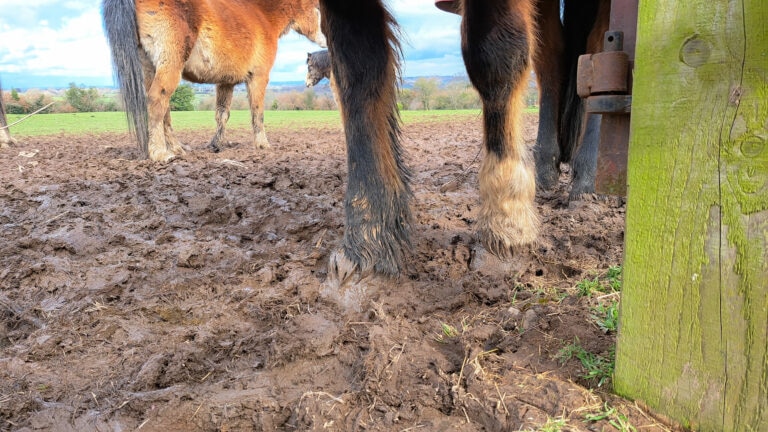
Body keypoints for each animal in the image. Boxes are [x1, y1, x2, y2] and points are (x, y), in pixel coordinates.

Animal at [102, 0, 327, 162]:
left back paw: (177, 148)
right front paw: (262, 145)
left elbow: (222, 114)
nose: (328, 40)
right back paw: (161, 153)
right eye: (318, 8)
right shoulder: (258, 77)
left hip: (150, 67)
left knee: (163, 109)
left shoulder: (226, 82)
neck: (262, 15)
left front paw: (217, 144)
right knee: (157, 101)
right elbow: (257, 112)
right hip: (169, 64)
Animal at [317, 0, 610, 283]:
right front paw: (367, 239)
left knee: (597, 49)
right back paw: (545, 171)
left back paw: (588, 179)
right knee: (551, 55)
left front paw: (507, 224)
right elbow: (357, 69)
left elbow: (494, 55)